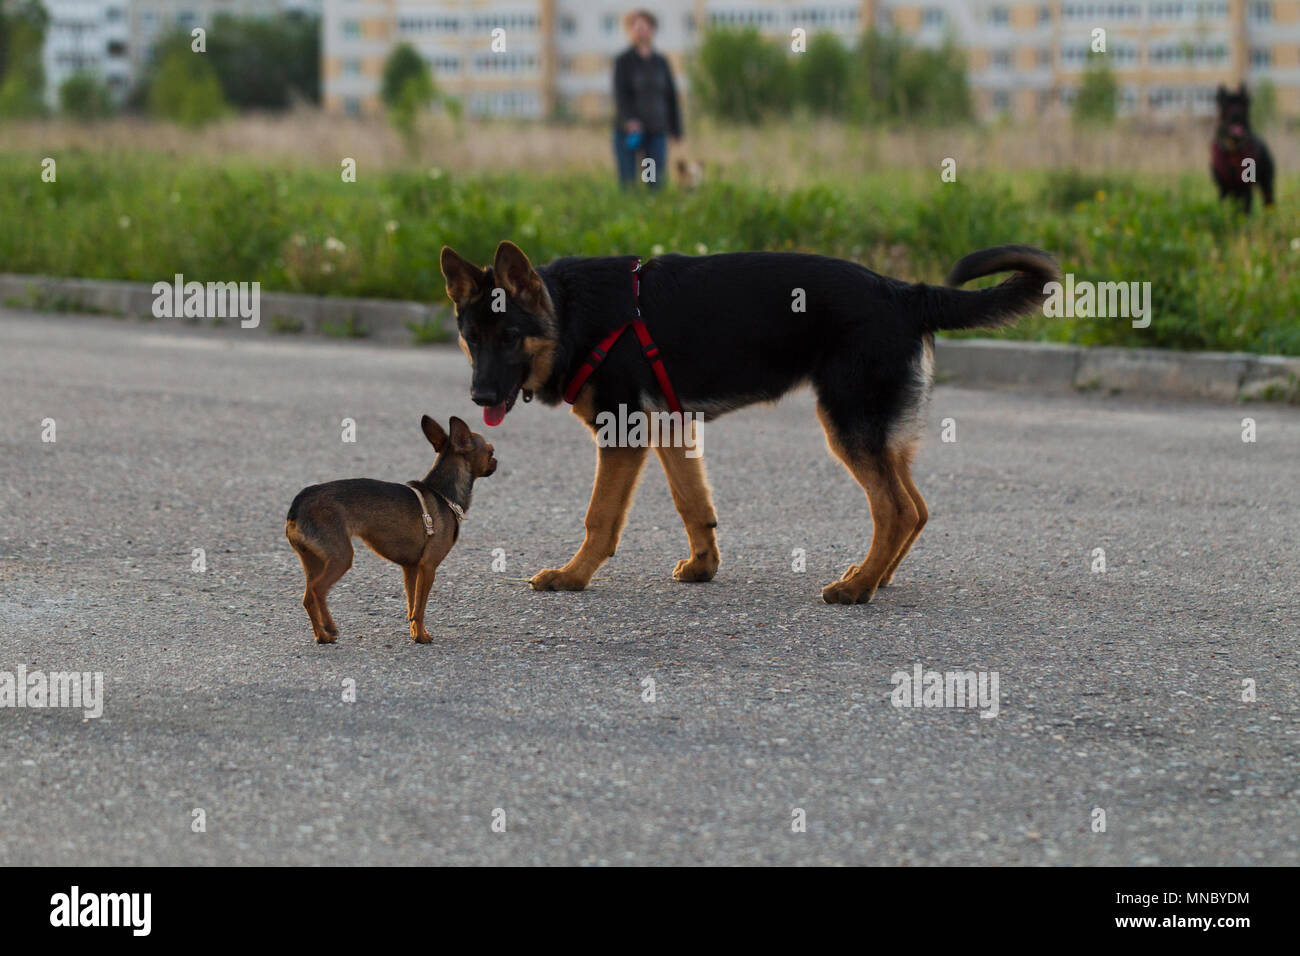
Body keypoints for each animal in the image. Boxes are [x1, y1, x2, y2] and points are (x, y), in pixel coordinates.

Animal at [287, 413, 493, 642]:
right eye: (491, 452)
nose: (496, 462)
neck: (443, 494)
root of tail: (299, 503)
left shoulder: (411, 568)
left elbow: (411, 605)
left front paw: (416, 633)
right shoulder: (428, 567)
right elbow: (420, 608)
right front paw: (422, 637)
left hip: (314, 561)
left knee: (307, 598)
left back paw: (322, 636)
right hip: (341, 558)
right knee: (318, 590)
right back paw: (330, 627)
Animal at [441, 239, 1060, 600]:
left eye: (510, 337)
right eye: (472, 338)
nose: (479, 396)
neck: (568, 315)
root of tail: (904, 292)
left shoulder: (624, 434)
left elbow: (601, 518)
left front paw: (572, 577)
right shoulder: (672, 430)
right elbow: (694, 505)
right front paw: (703, 566)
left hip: (849, 427)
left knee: (897, 509)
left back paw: (857, 588)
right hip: (880, 434)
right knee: (916, 507)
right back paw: (875, 576)